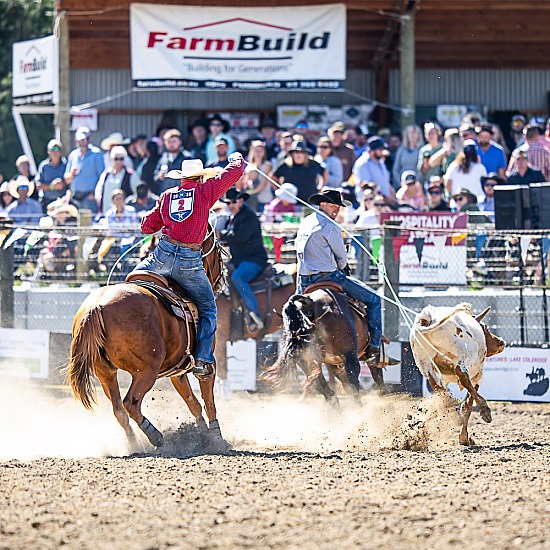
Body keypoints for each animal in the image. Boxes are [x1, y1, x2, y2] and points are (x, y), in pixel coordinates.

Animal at [67, 225, 231, 452]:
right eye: (218, 251)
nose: (222, 281)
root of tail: (96, 307)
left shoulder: (178, 371)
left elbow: (194, 403)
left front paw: (202, 434)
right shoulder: (206, 364)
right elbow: (208, 400)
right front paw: (216, 438)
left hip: (105, 372)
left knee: (118, 410)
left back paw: (135, 445)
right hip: (145, 371)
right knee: (130, 403)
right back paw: (156, 437)